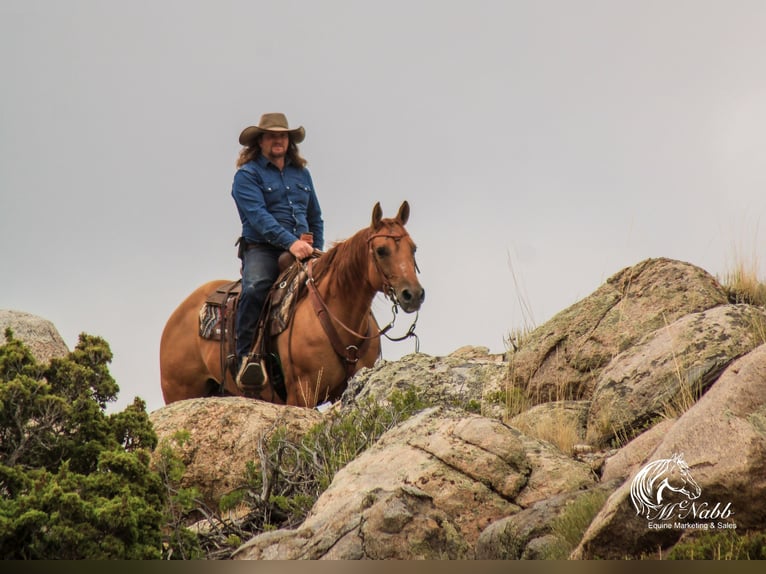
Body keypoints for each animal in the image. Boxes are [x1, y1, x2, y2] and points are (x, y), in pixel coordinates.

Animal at [160, 202, 426, 410]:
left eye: (413, 248)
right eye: (381, 250)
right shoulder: (302, 392)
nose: (413, 295)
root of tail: (175, 318)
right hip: (179, 392)